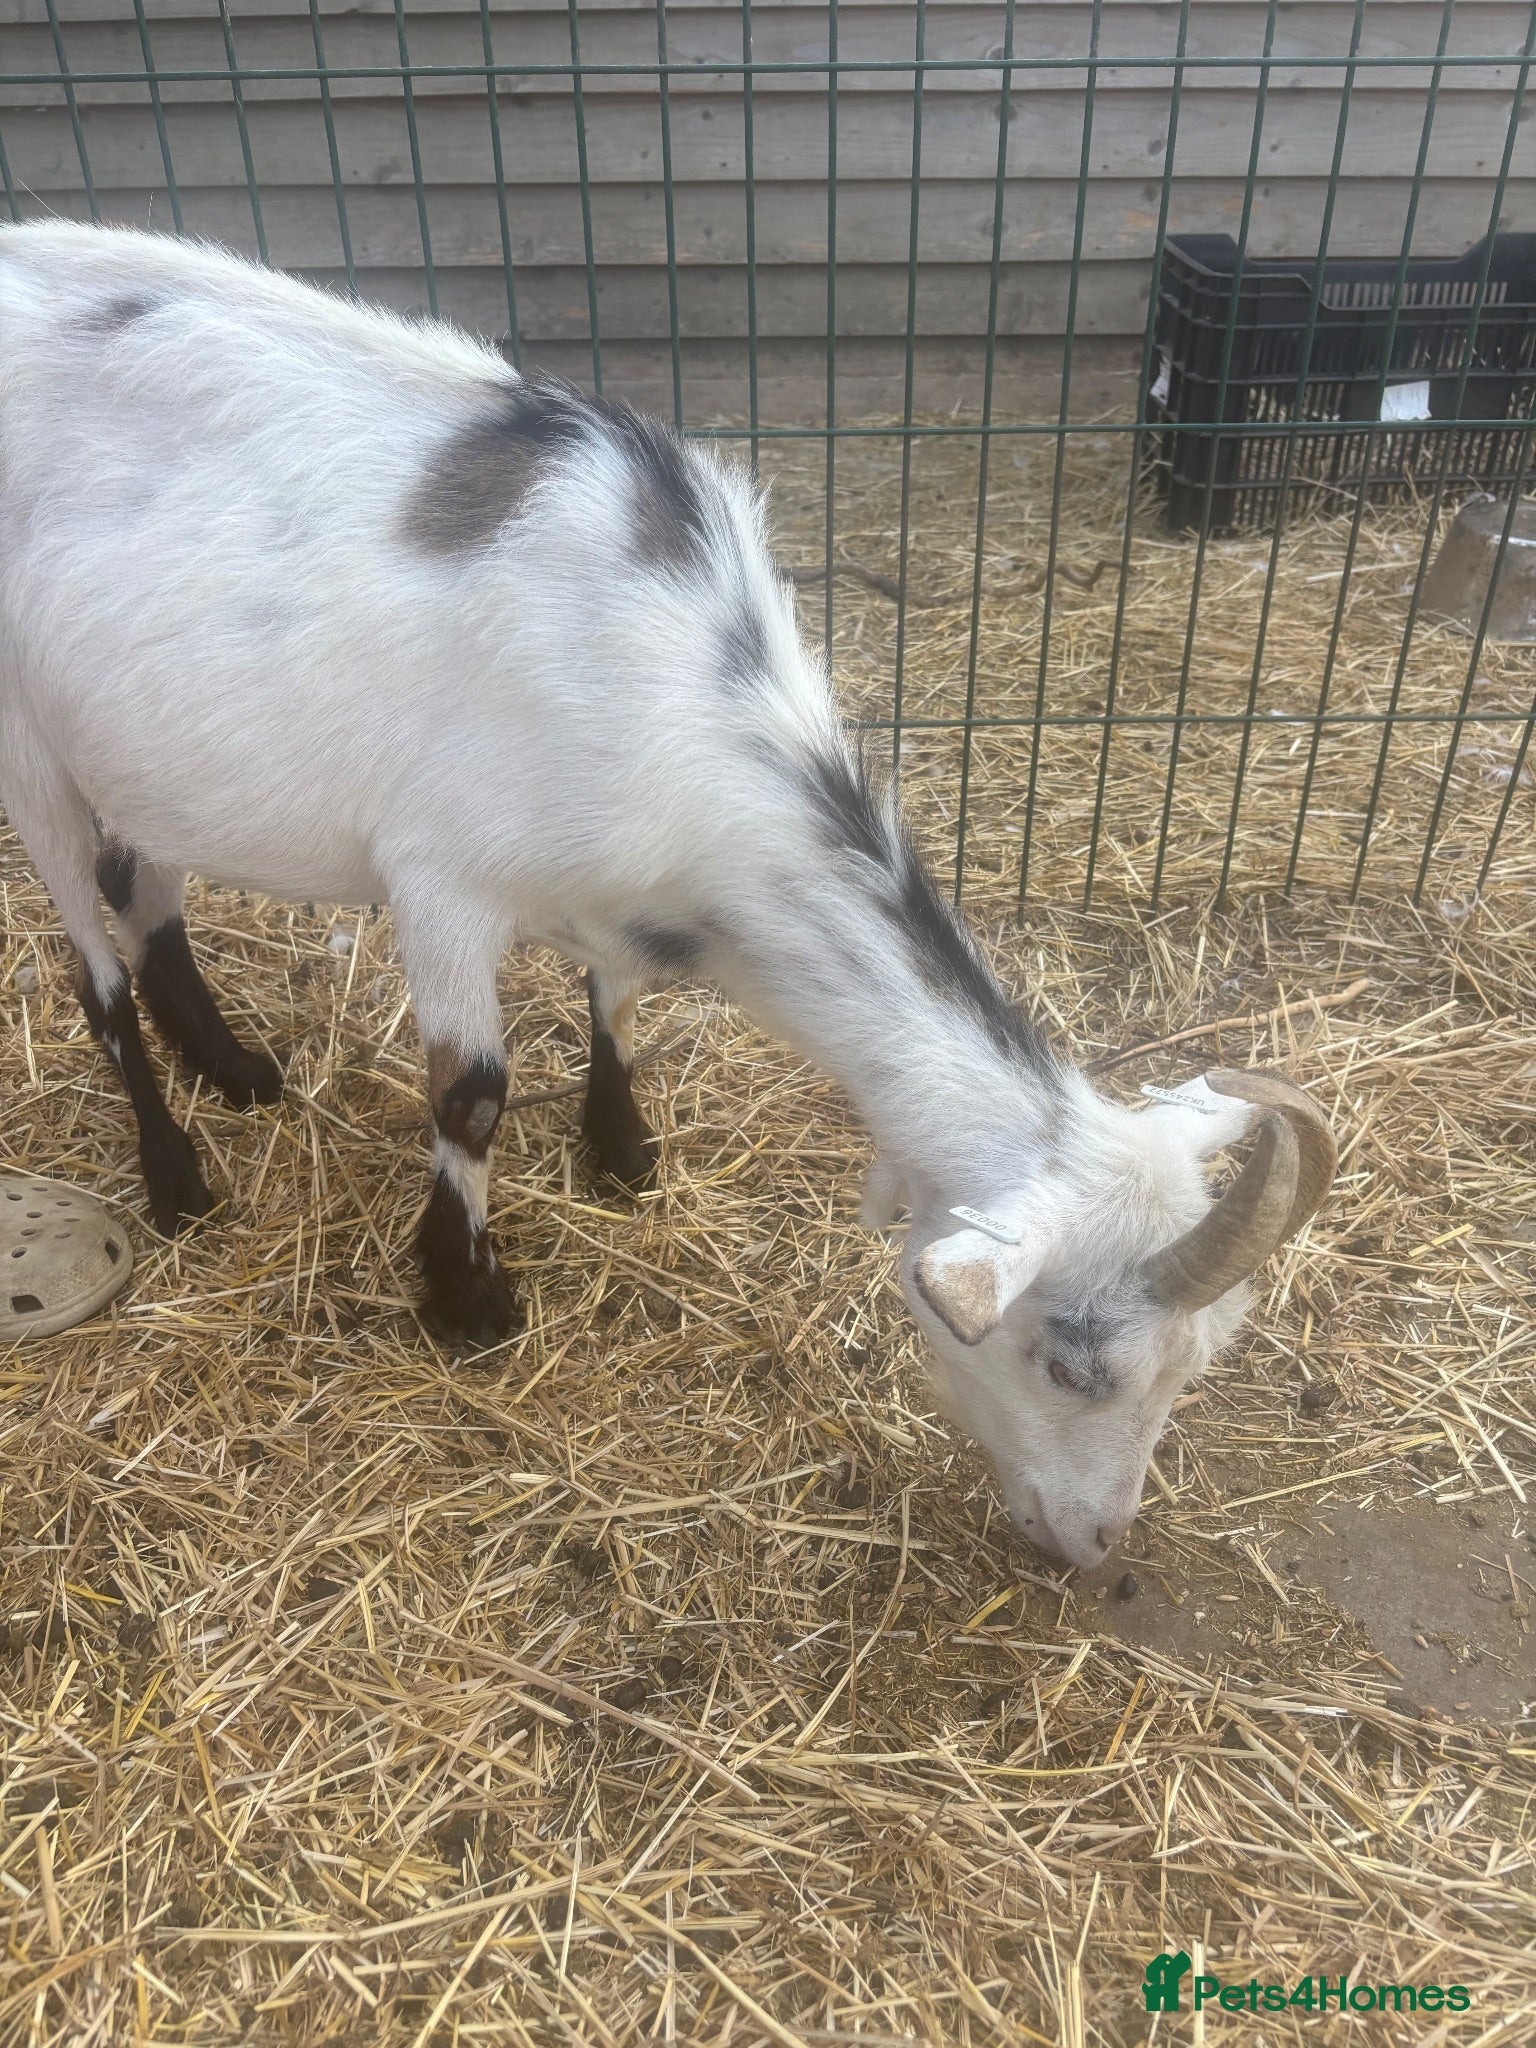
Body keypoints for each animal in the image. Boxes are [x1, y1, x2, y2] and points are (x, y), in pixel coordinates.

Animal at [0, 224, 1336, 1567]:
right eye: (1071, 1364)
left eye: (1199, 1360)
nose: (1095, 1542)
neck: (673, 685)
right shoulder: (439, 877)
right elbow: (472, 1094)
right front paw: (468, 1294)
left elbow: (619, 1001)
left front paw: (620, 1149)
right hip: (30, 743)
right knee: (88, 959)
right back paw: (176, 1175)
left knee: (142, 873)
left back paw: (230, 1063)